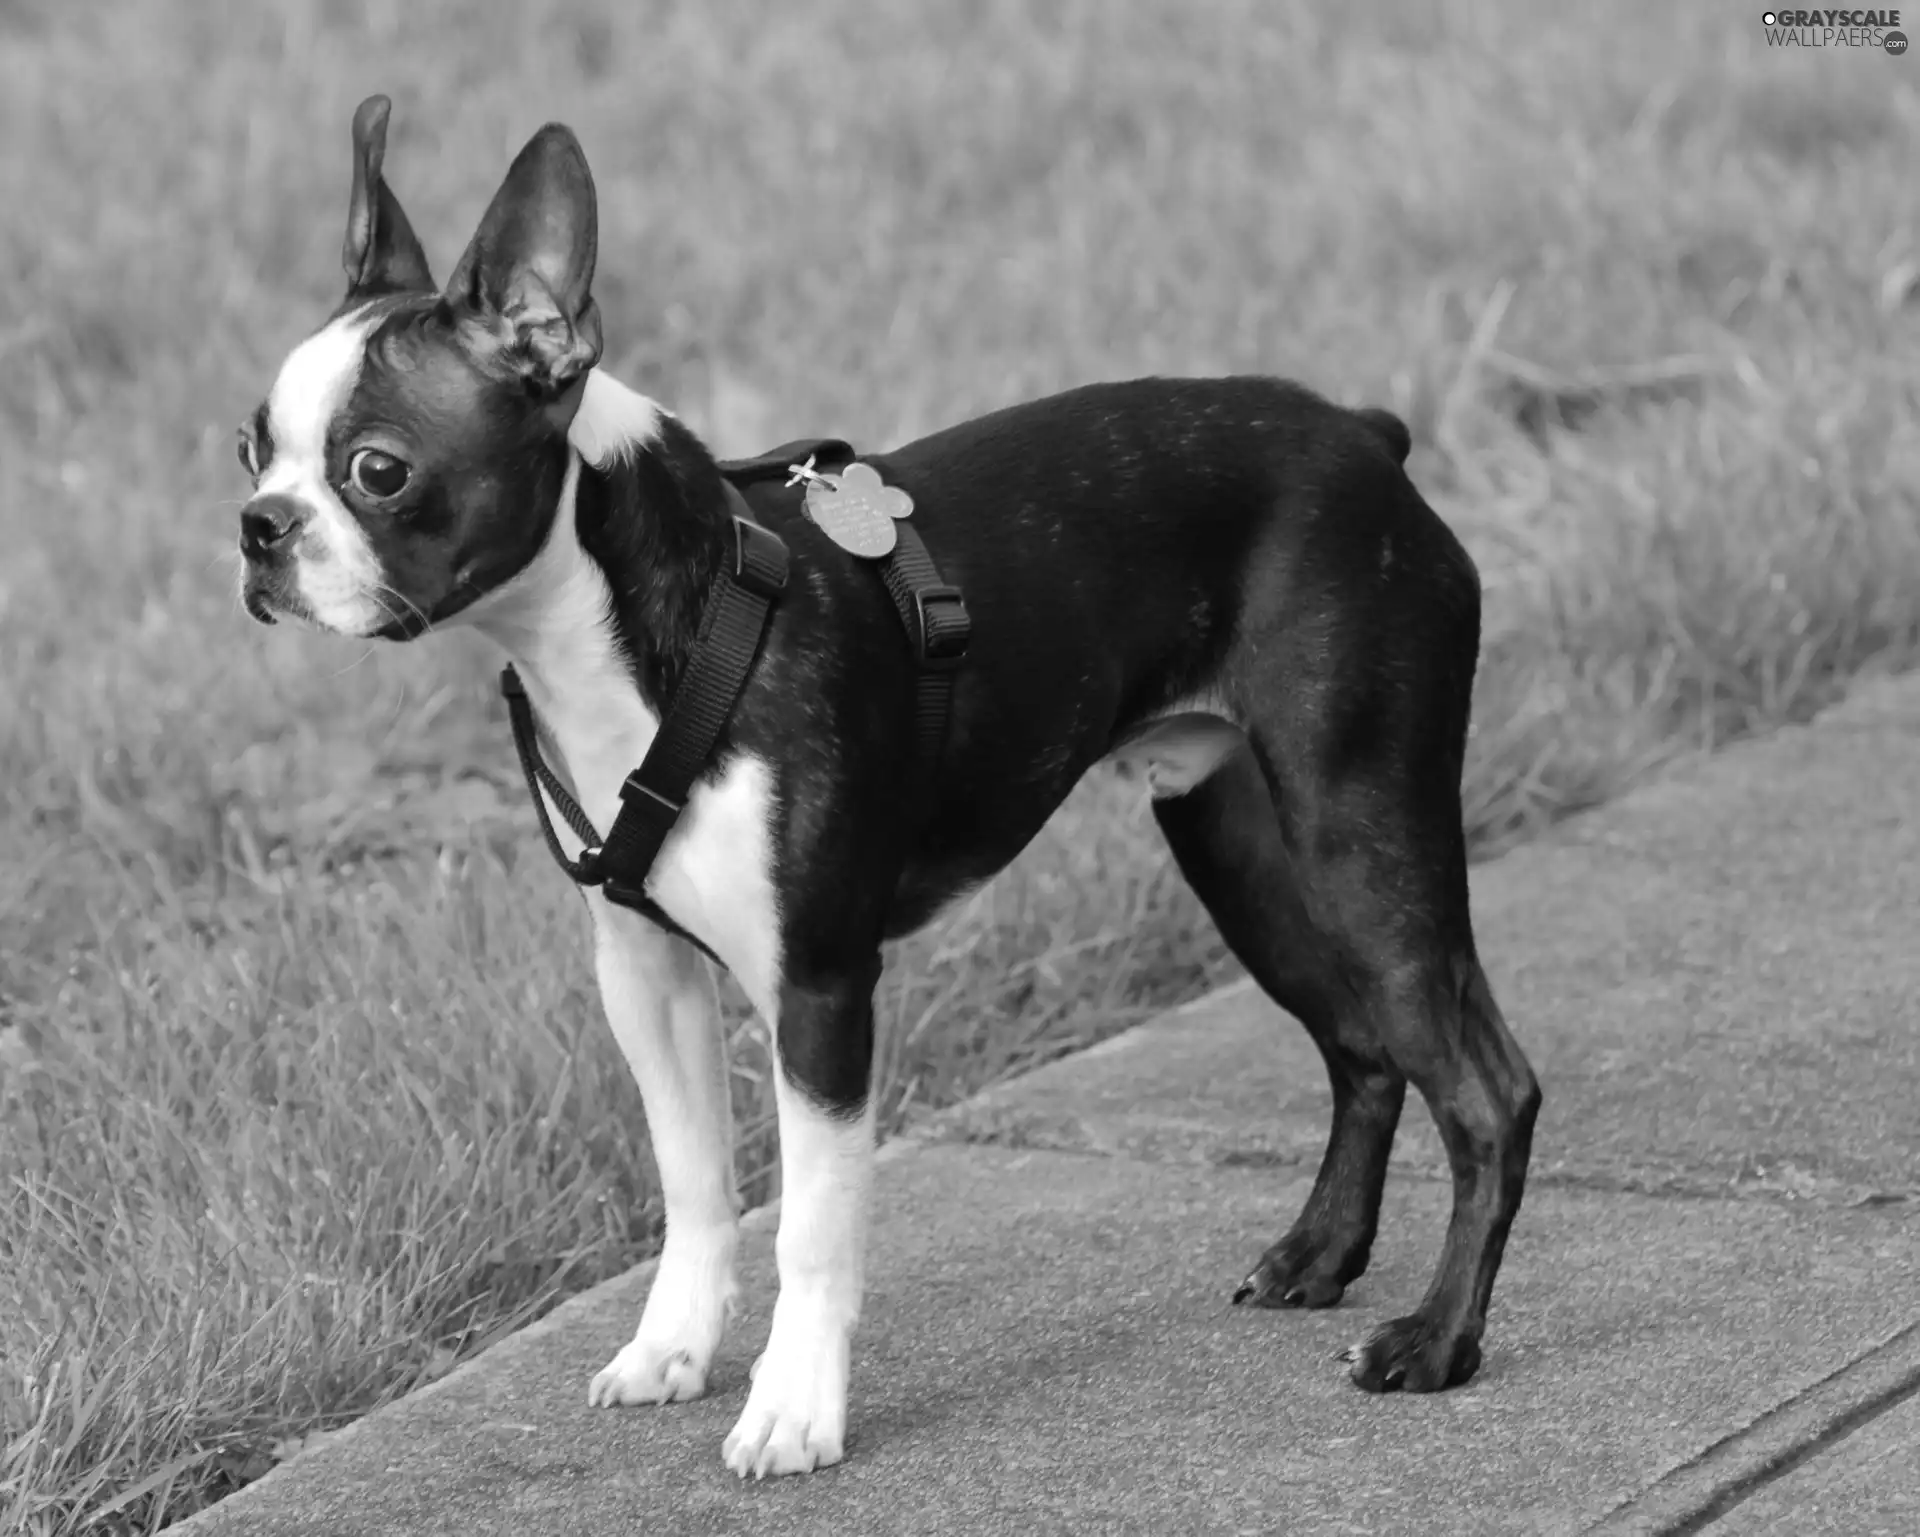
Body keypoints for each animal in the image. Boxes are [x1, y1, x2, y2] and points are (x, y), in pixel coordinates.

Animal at [236, 98, 1543, 1473]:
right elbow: (694, 1181)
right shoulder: (641, 971)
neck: (634, 625)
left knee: (1486, 1089)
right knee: (1363, 1048)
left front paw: (792, 1411)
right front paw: (675, 1348)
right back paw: (1321, 1255)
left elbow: (812, 1222)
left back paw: (1437, 1341)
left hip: (1359, 827)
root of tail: (1365, 435)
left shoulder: (818, 985)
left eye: (379, 471)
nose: (258, 527)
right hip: (1241, 847)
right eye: (247, 447)